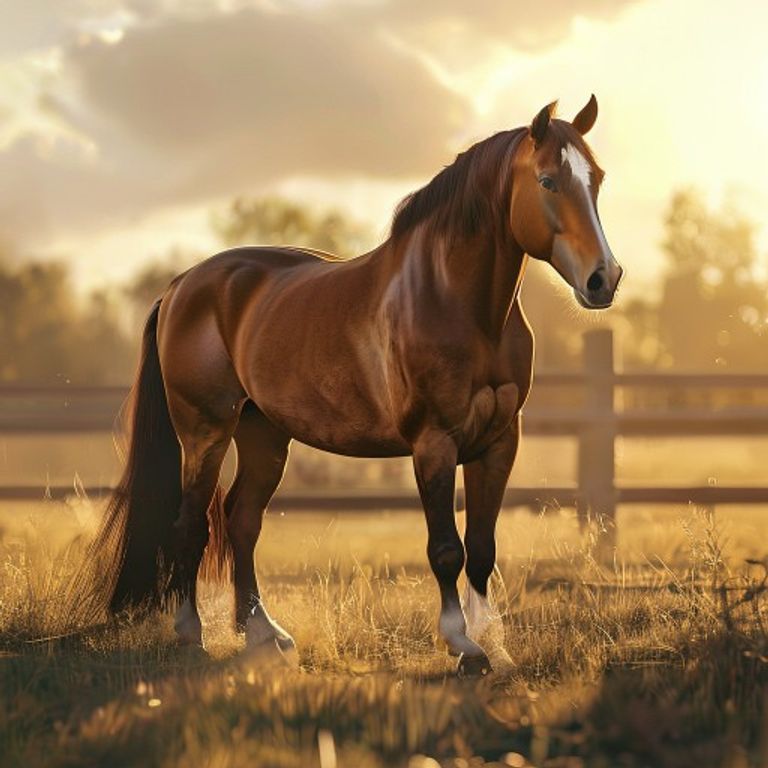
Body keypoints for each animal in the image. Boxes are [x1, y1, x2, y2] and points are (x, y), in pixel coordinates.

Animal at [92, 95, 622, 675]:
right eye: (548, 180)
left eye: (597, 179)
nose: (604, 279)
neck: (454, 300)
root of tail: (182, 286)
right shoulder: (434, 443)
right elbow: (447, 548)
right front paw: (461, 643)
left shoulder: (500, 442)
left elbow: (482, 548)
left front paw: (494, 644)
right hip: (204, 432)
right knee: (192, 524)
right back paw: (193, 634)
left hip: (264, 434)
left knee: (241, 520)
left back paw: (264, 633)